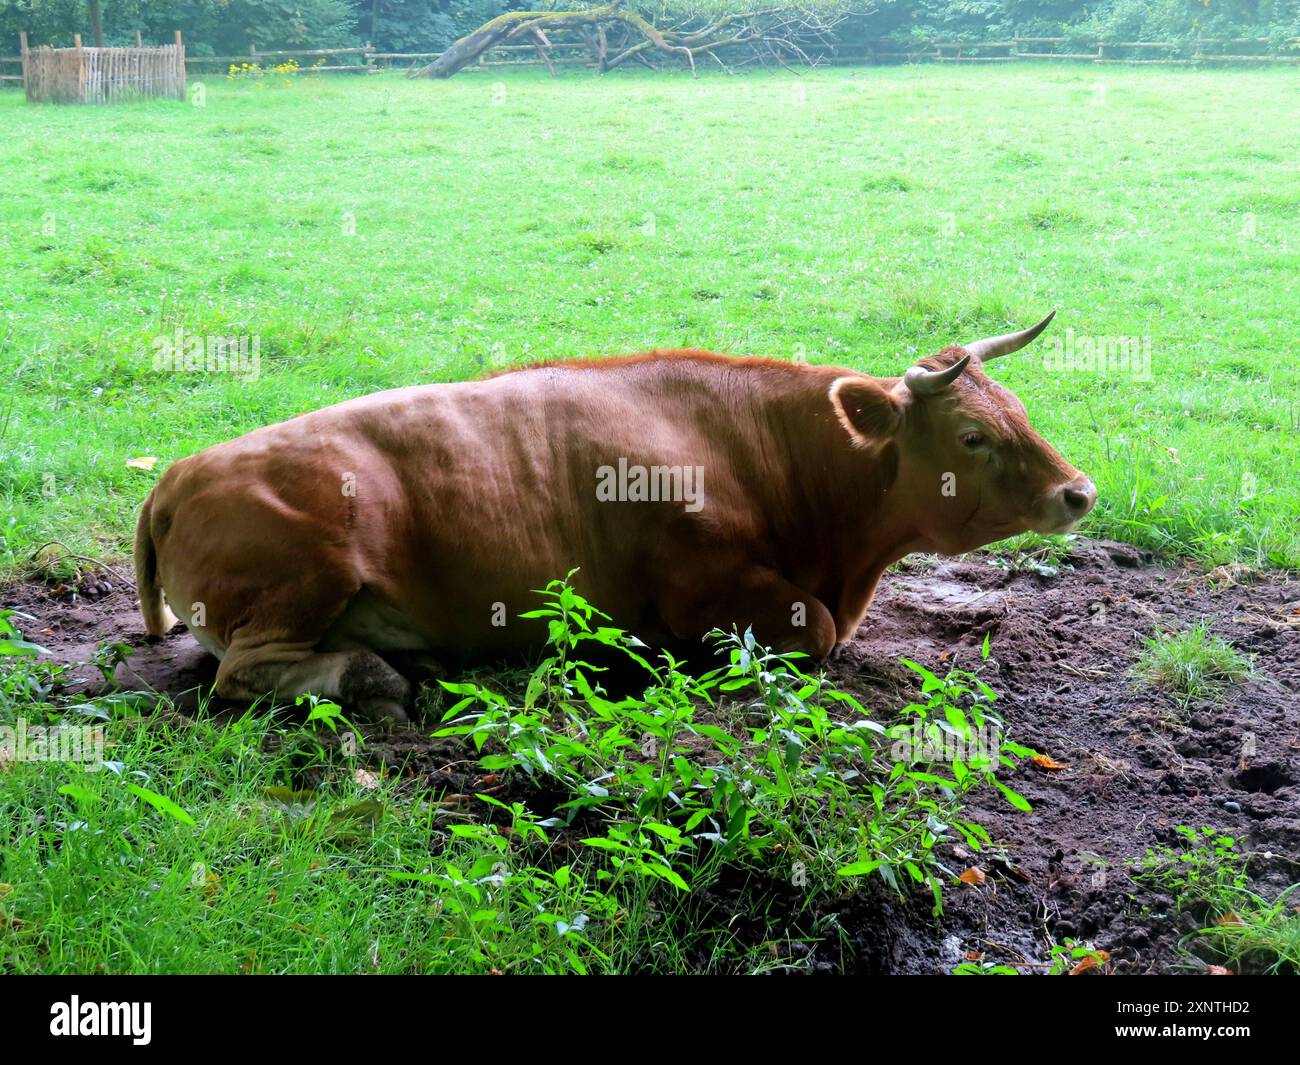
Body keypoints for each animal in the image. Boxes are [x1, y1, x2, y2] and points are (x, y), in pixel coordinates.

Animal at [134, 312, 1086, 723]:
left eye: (1018, 408)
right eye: (971, 435)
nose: (1079, 491)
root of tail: (179, 473)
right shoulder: (707, 583)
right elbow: (812, 628)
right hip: (308, 573)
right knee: (241, 674)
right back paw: (374, 674)